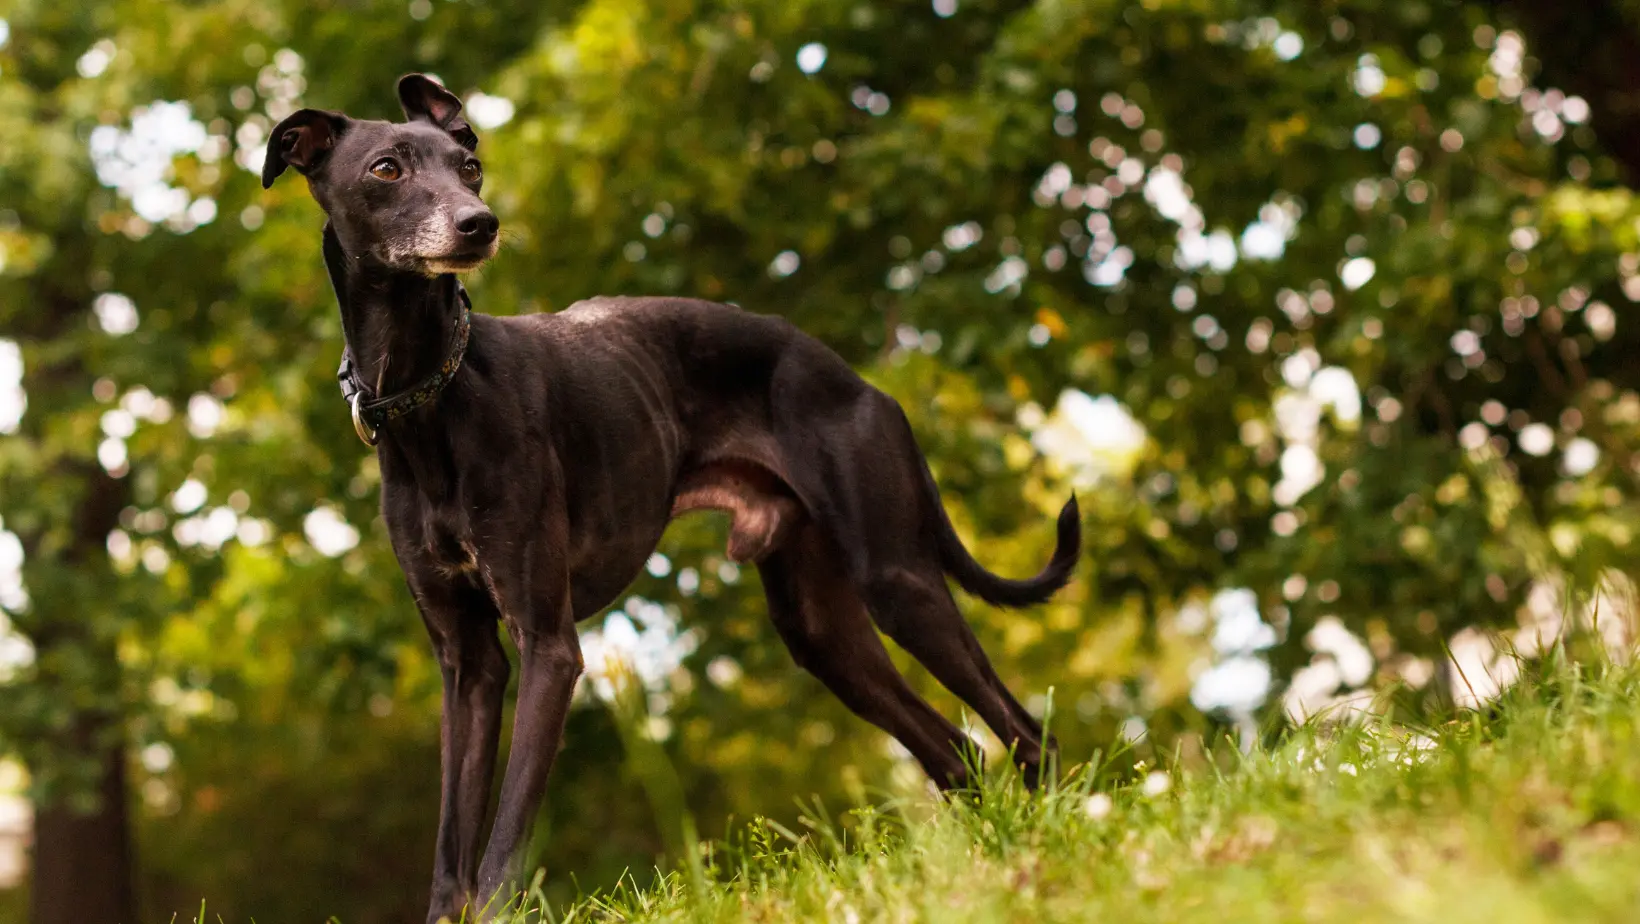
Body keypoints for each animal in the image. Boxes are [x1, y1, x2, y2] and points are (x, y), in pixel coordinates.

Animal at [262, 74, 1082, 924]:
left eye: (469, 168)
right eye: (387, 168)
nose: (478, 224)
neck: (435, 395)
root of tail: (861, 382)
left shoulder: (548, 646)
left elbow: (506, 835)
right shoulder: (467, 662)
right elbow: (451, 844)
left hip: (898, 582)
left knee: (1025, 731)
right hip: (822, 633)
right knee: (956, 751)